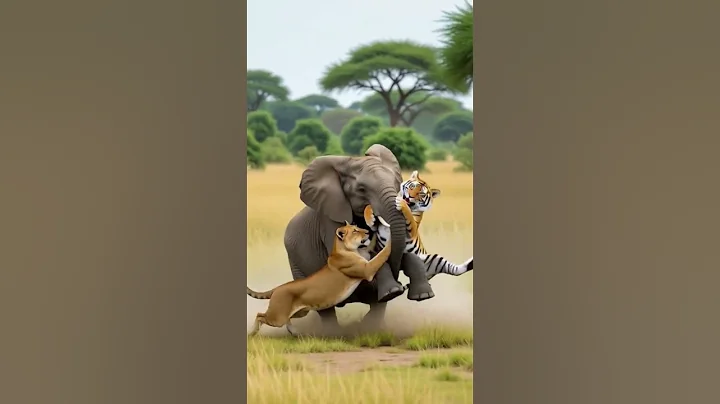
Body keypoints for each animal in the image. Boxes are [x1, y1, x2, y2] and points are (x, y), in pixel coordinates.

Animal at [246, 221, 392, 336]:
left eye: (357, 227)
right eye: (355, 231)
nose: (367, 232)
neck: (345, 249)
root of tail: (277, 288)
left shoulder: (365, 259)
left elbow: (374, 251)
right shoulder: (367, 269)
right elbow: (381, 255)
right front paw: (389, 239)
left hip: (300, 312)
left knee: (286, 319)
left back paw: (295, 332)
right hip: (278, 317)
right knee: (260, 315)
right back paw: (252, 333)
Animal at [283, 144, 435, 331]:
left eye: (396, 184)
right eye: (362, 190)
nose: (401, 286)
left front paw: (423, 294)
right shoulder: (331, 222)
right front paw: (393, 291)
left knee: (377, 305)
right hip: (297, 265)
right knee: (324, 309)